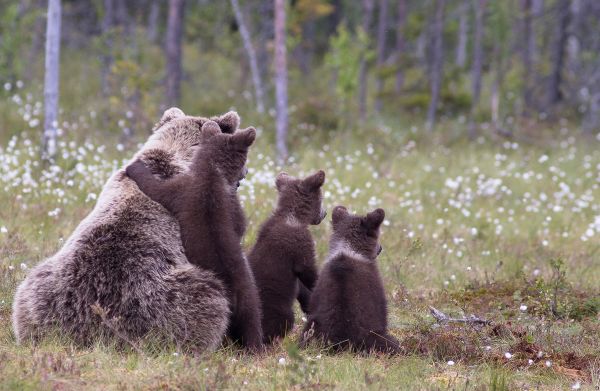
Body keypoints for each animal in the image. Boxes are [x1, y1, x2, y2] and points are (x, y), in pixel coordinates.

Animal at [126, 121, 262, 350]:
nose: (247, 171)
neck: (213, 172)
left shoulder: (182, 190)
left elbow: (156, 188)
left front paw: (135, 167)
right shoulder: (230, 205)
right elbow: (239, 224)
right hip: (249, 295)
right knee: (252, 322)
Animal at [247, 171, 326, 344]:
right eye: (321, 198)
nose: (325, 213)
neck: (293, 216)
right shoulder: (299, 244)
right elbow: (308, 270)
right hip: (277, 307)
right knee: (283, 320)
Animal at [302, 208, 400, 356]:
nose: (380, 248)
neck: (350, 248)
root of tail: (342, 343)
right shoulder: (376, 292)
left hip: (313, 327)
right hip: (374, 337)